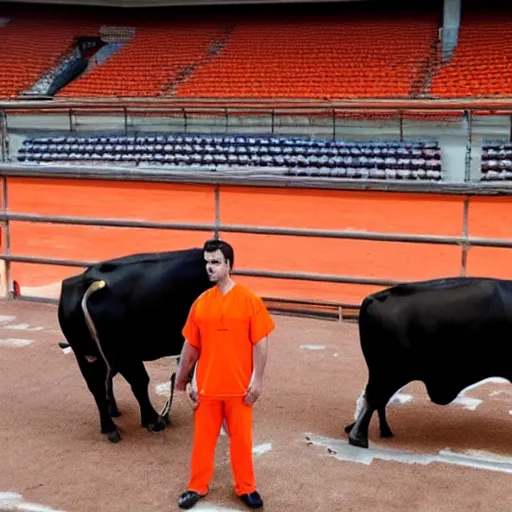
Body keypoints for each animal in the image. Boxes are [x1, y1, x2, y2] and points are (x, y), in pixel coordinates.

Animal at [58, 246, 214, 442]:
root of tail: (92, 282)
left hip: (91, 354)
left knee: (101, 385)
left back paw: (112, 419)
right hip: (119, 354)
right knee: (132, 383)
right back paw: (148, 420)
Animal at [344, 276, 512, 448]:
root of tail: (374, 297)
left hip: (387, 373)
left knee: (375, 398)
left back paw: (378, 431)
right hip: (389, 371)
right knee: (374, 398)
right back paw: (359, 437)